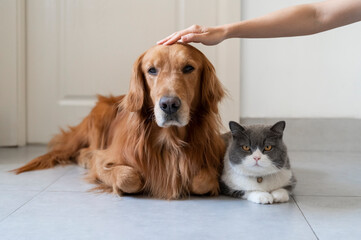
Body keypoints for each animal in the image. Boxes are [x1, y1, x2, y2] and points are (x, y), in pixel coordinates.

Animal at [14, 42, 225, 199]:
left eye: (189, 68)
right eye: (152, 70)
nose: (169, 105)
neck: (170, 140)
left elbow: (202, 180)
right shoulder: (105, 159)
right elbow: (128, 177)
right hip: (102, 112)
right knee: (84, 150)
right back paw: (86, 158)